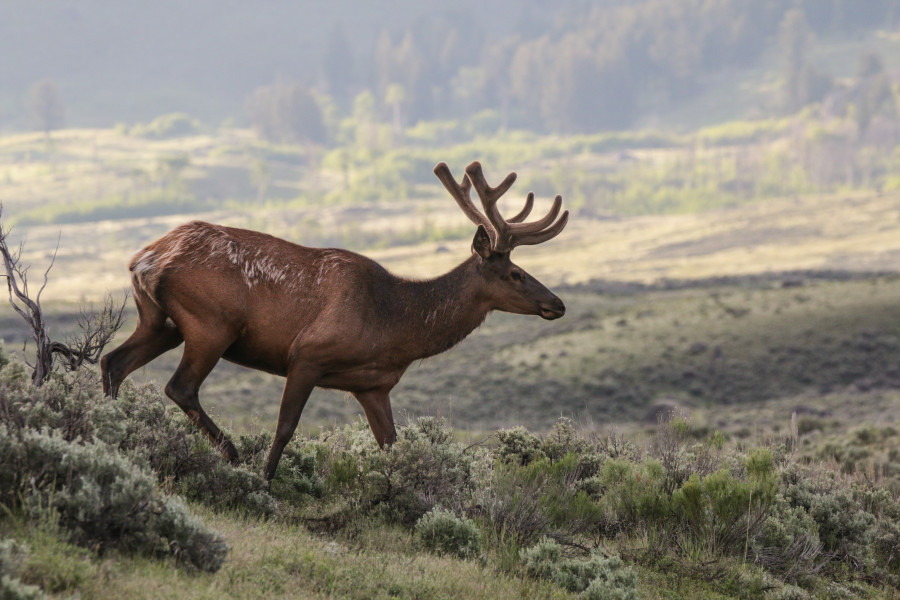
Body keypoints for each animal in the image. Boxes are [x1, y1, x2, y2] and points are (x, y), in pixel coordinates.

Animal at [102, 162, 568, 480]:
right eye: (515, 273)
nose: (557, 304)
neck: (396, 328)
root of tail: (145, 259)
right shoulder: (307, 354)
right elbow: (285, 427)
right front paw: (265, 482)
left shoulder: (373, 386)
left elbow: (391, 445)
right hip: (211, 324)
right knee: (179, 386)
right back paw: (231, 454)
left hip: (160, 322)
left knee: (113, 362)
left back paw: (114, 431)